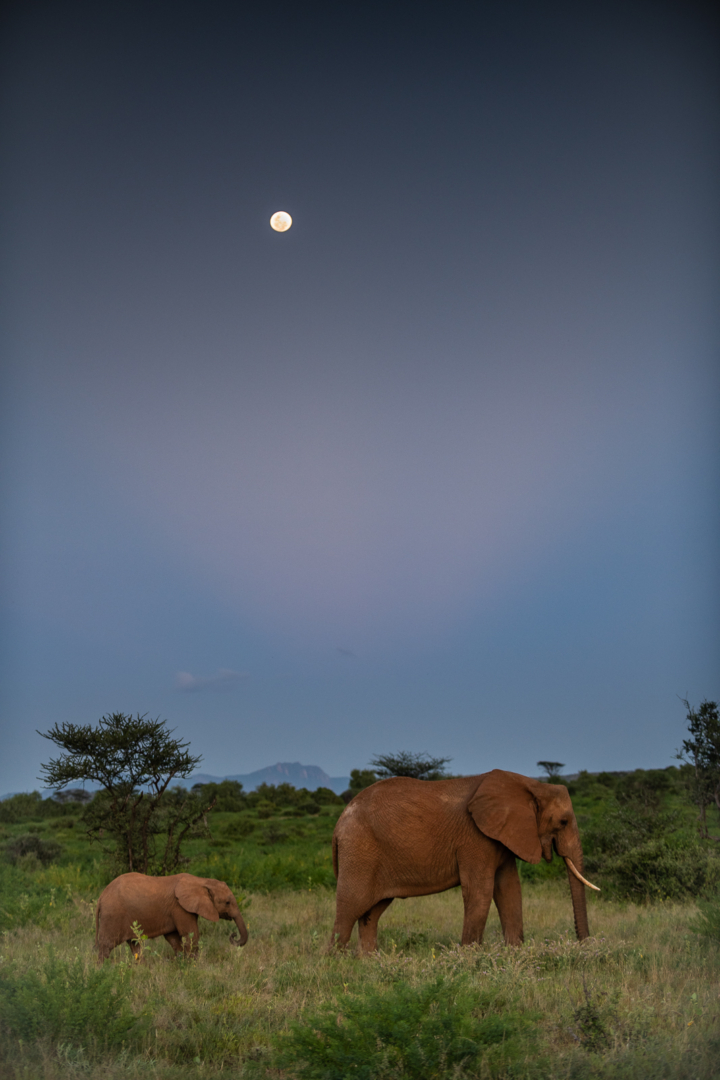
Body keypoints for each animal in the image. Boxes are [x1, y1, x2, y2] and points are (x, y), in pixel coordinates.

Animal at [95, 872, 248, 962]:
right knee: (106, 946)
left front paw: (181, 963)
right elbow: (191, 935)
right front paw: (193, 966)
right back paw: (102, 970)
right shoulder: (179, 907)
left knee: (135, 945)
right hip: (112, 915)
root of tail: (101, 896)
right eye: (227, 903)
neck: (201, 881)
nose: (233, 935)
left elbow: (173, 938)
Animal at [329, 769, 598, 953]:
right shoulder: (476, 838)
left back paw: (368, 961)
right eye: (563, 822)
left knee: (371, 912)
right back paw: (337, 962)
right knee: (349, 907)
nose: (585, 945)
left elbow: (509, 889)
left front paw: (514, 955)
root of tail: (339, 824)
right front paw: (470, 958)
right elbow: (481, 891)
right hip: (359, 851)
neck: (531, 785)